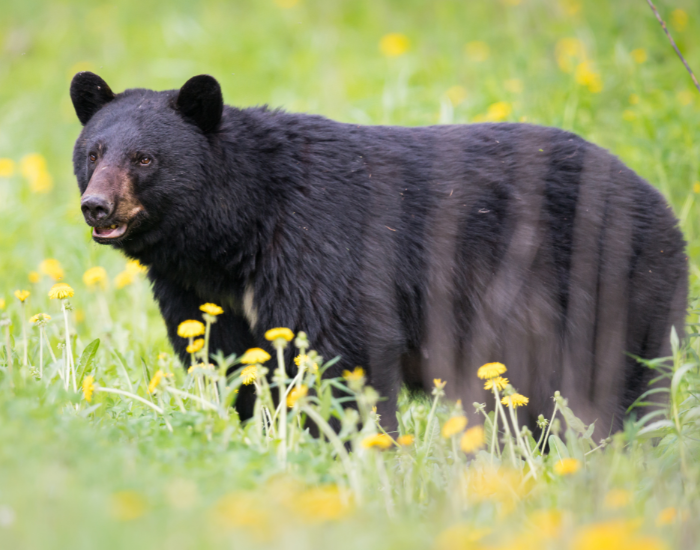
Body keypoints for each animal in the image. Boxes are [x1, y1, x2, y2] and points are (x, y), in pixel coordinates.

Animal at [70, 72, 688, 434]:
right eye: (94, 152)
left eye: (145, 158)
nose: (96, 206)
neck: (236, 231)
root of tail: (663, 205)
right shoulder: (200, 292)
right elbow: (234, 361)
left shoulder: (319, 243)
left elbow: (346, 349)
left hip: (612, 285)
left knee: (616, 384)